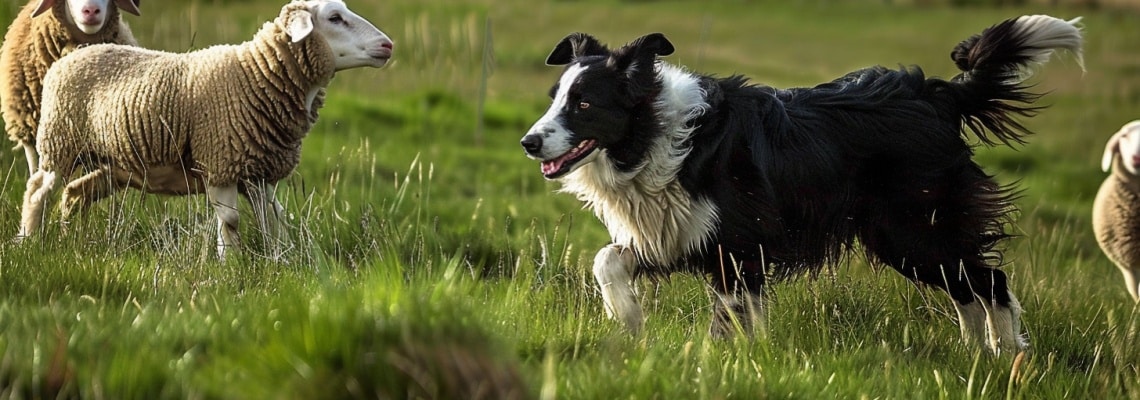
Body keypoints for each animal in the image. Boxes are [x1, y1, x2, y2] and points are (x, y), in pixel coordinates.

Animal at [15, 0, 399, 259]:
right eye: (334, 18)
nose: (388, 45)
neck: (256, 75)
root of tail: (74, 54)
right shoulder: (221, 159)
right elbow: (230, 221)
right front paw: (231, 267)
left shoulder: (257, 171)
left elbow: (273, 219)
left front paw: (283, 260)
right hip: (59, 143)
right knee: (37, 191)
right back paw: (29, 242)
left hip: (112, 163)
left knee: (76, 193)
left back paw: (70, 237)